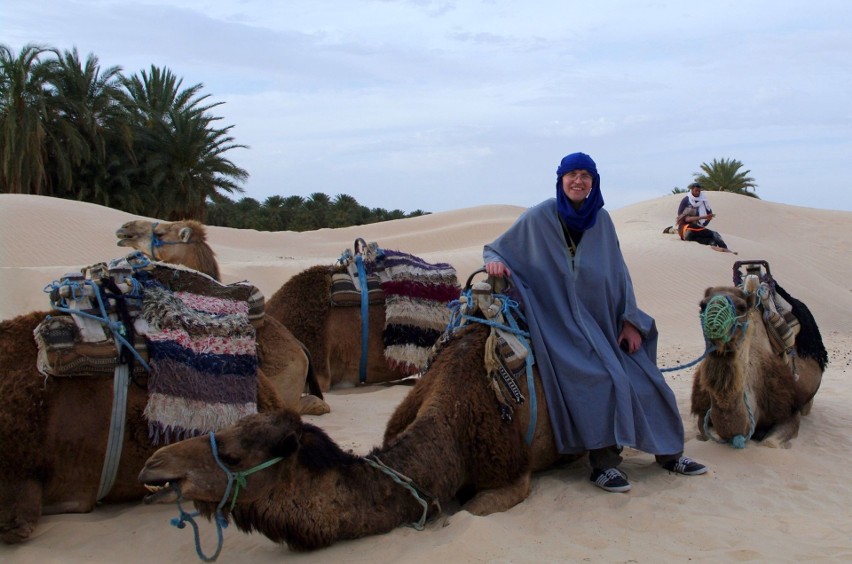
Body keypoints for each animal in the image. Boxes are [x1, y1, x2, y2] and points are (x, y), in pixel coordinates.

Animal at [688, 278, 828, 450]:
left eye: (742, 307)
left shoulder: (788, 411)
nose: (714, 326)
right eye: (702, 305)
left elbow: (769, 443)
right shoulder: (703, 414)